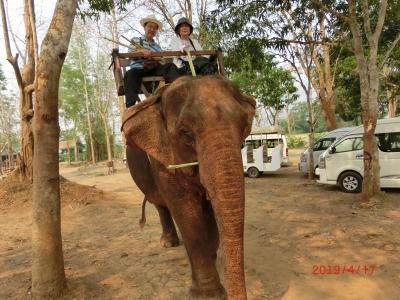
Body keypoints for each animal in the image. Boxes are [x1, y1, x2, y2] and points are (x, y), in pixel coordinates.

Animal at [120, 75, 256, 298]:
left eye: (245, 127)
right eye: (184, 132)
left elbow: (209, 213)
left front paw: (212, 256)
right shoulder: (162, 161)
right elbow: (186, 213)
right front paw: (209, 295)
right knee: (161, 205)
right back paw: (168, 243)